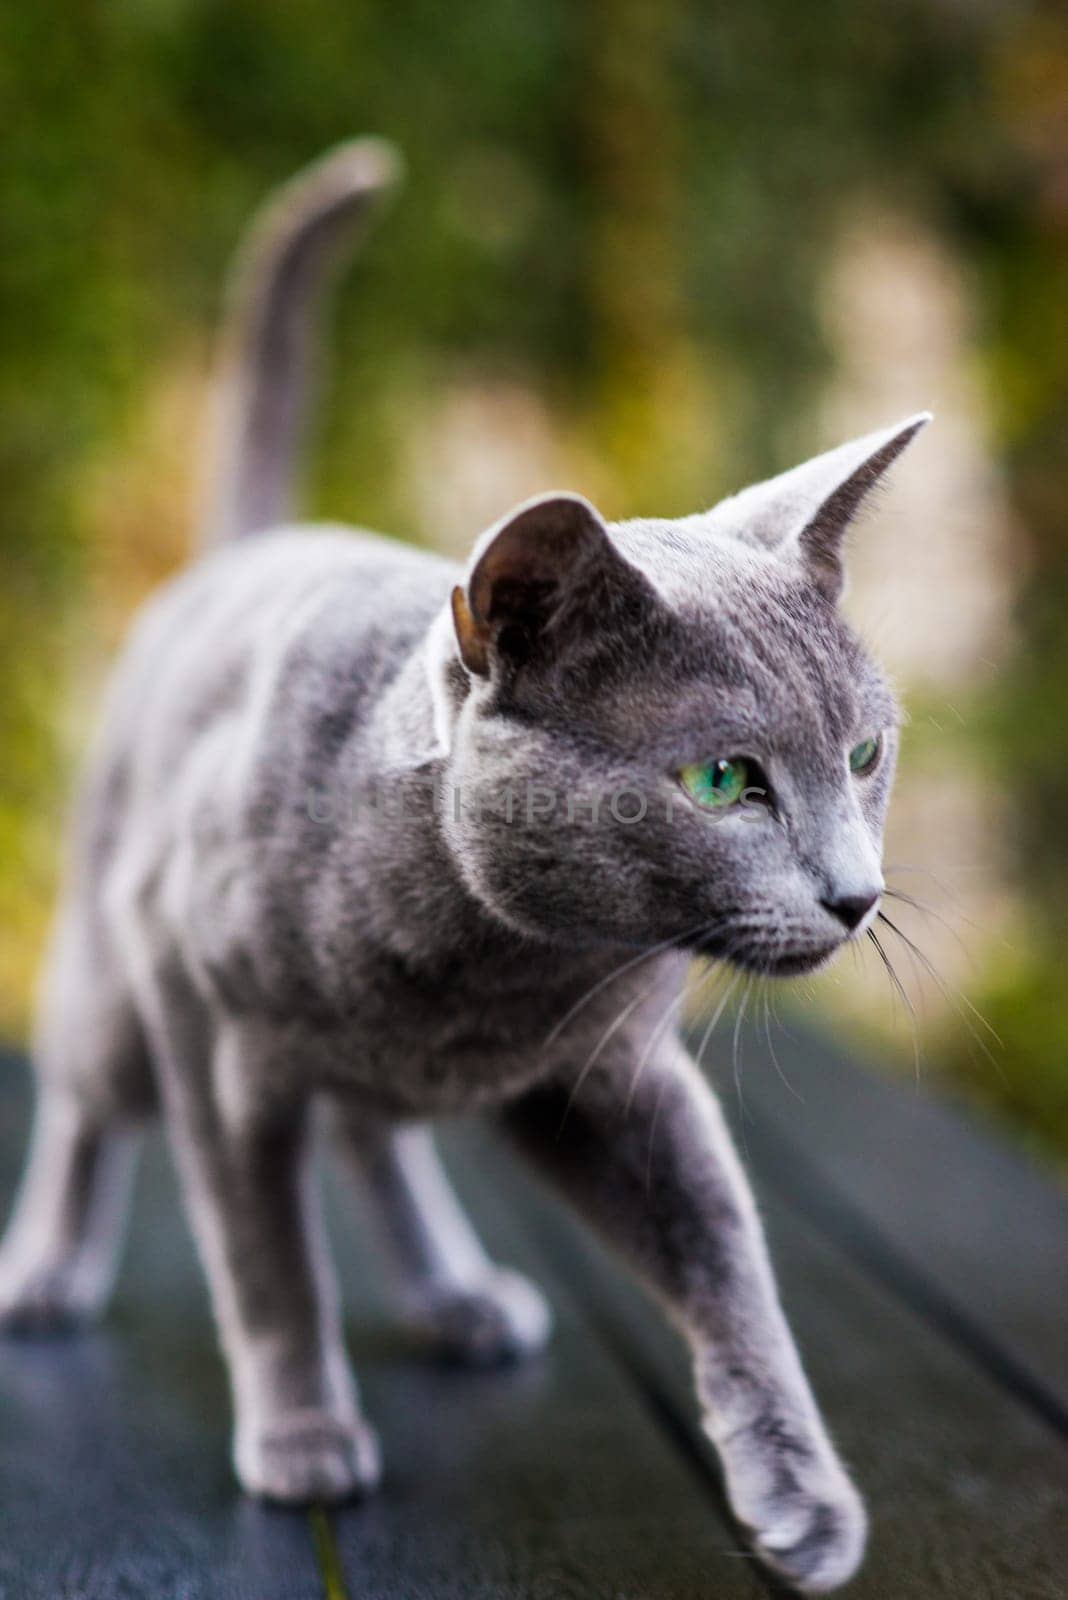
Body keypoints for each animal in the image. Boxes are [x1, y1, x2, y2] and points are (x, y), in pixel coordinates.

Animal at [0, 144, 927, 1593]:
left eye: (868, 750)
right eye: (725, 781)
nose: (856, 893)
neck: (484, 974)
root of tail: (241, 552)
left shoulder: (609, 1081)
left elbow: (729, 1264)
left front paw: (801, 1492)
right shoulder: (211, 1043)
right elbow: (266, 1262)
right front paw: (303, 1434)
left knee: (373, 1135)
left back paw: (455, 1290)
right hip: (116, 987)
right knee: (87, 1102)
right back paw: (44, 1269)